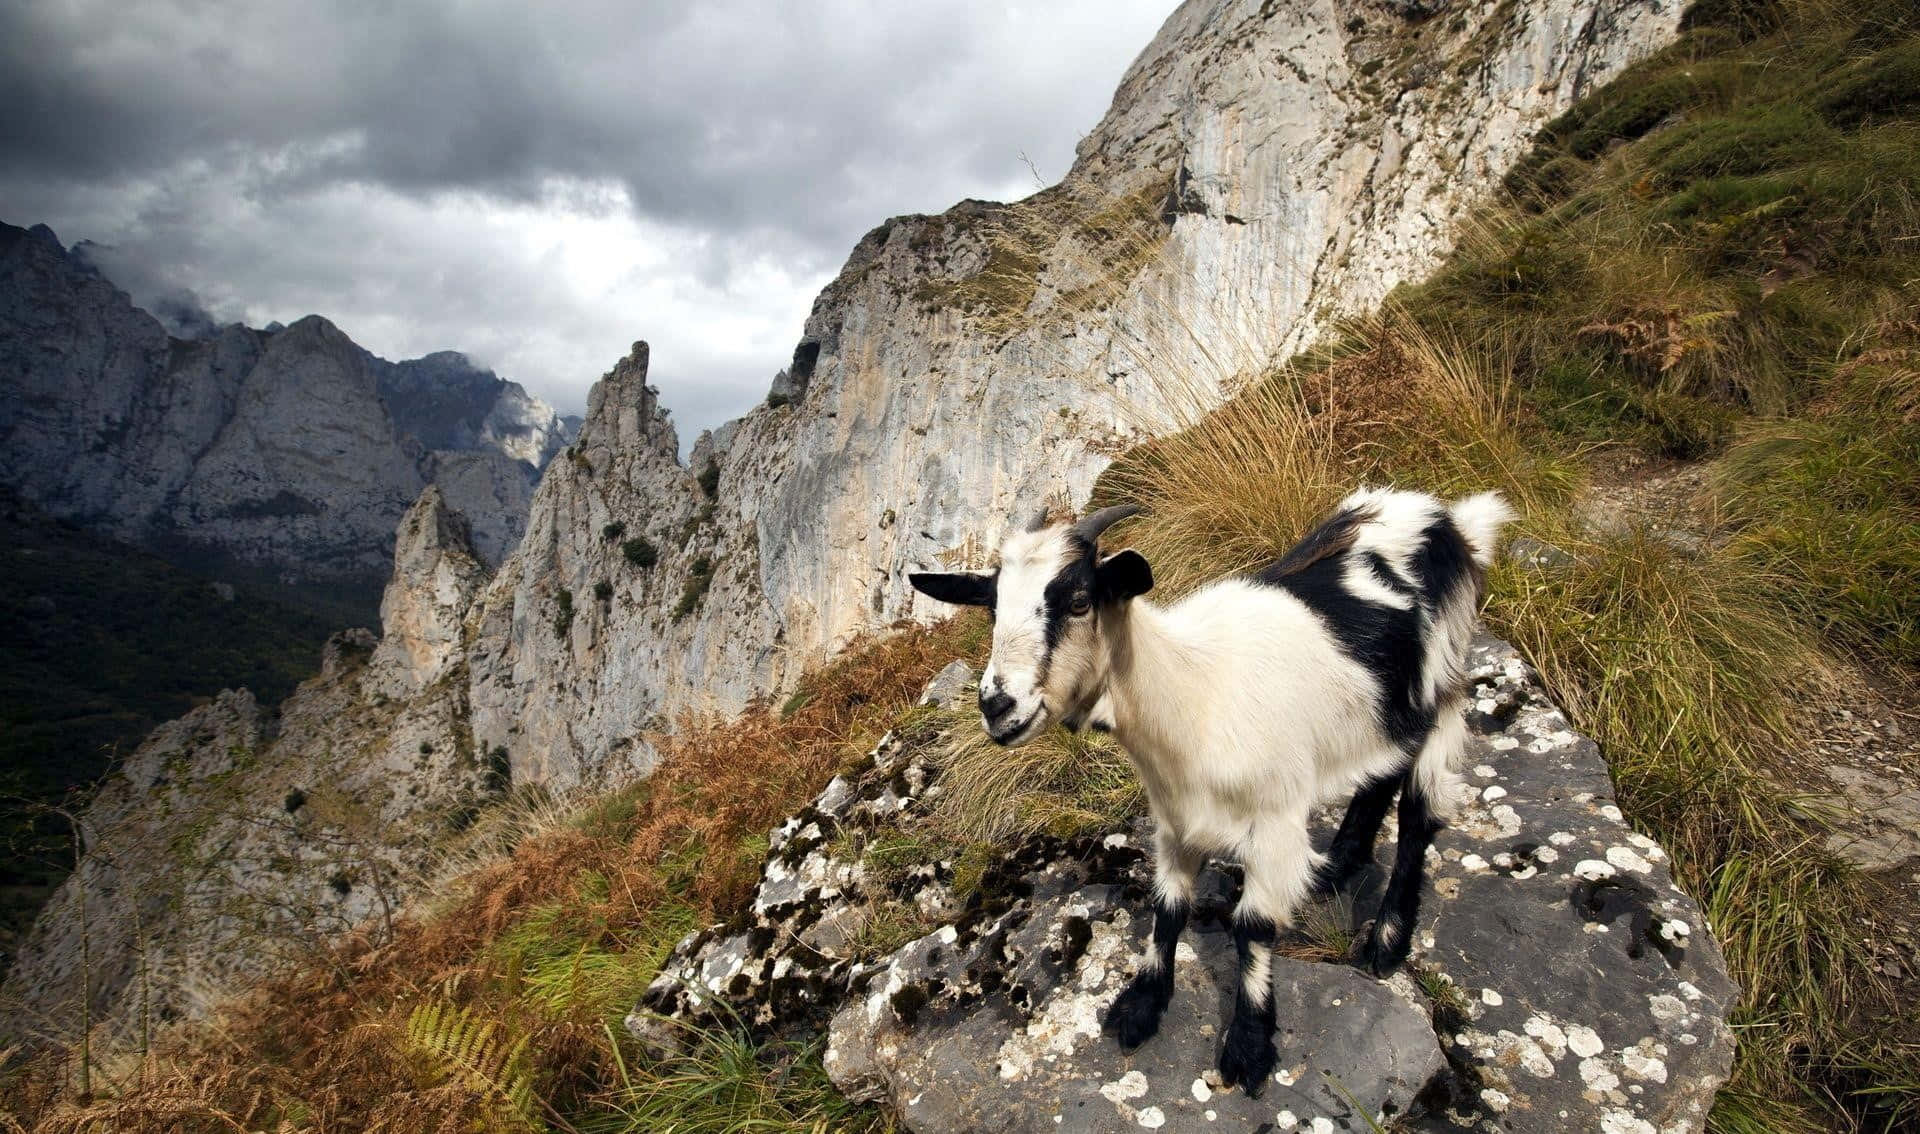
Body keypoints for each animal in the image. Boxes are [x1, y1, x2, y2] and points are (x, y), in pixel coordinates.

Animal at [909, 487, 1512, 1094]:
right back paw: (1336, 867)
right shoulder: (1175, 820)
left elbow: (1253, 926)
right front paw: (1141, 1006)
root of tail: (1445, 517)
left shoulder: (1275, 820)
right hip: (1384, 709)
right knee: (1381, 774)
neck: (1193, 691)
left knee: (1418, 813)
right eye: (991, 607)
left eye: (1080, 600)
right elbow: (1168, 906)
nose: (996, 705)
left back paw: (1387, 941)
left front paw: (1249, 1044)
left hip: (1444, 683)